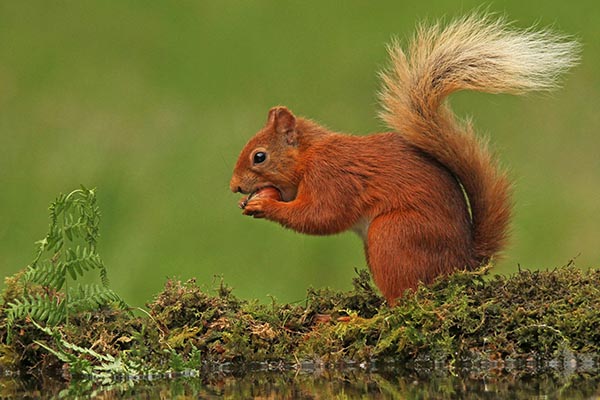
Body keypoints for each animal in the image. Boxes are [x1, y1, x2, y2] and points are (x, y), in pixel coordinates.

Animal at [229, 14, 576, 304]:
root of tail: (463, 265)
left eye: (259, 157)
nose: (234, 187)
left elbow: (320, 216)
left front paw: (265, 204)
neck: (309, 155)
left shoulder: (332, 176)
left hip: (393, 236)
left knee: (404, 299)